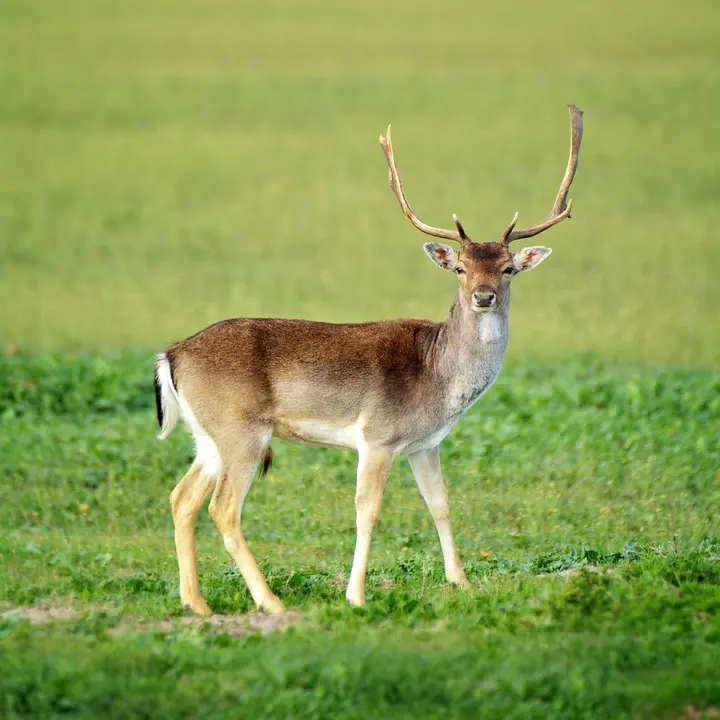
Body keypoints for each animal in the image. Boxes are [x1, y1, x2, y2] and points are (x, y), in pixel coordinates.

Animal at [155, 104, 584, 616]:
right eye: (460, 267)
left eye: (509, 268)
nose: (483, 296)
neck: (438, 378)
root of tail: (171, 355)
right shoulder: (377, 436)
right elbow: (368, 511)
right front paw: (356, 596)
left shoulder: (425, 444)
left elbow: (440, 504)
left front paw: (460, 582)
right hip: (240, 429)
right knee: (223, 509)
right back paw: (271, 602)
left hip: (207, 436)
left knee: (182, 498)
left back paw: (196, 604)